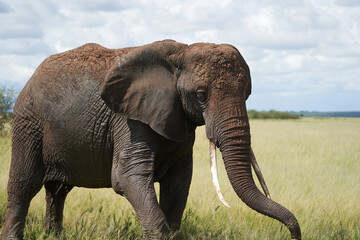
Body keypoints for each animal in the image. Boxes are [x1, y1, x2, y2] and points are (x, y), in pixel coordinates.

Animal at [0, 40, 300, 239]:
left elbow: (178, 185)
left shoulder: (178, 121)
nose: (293, 234)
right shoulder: (128, 119)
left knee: (58, 191)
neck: (181, 52)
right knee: (24, 185)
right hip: (28, 123)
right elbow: (127, 178)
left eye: (248, 93)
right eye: (200, 95)